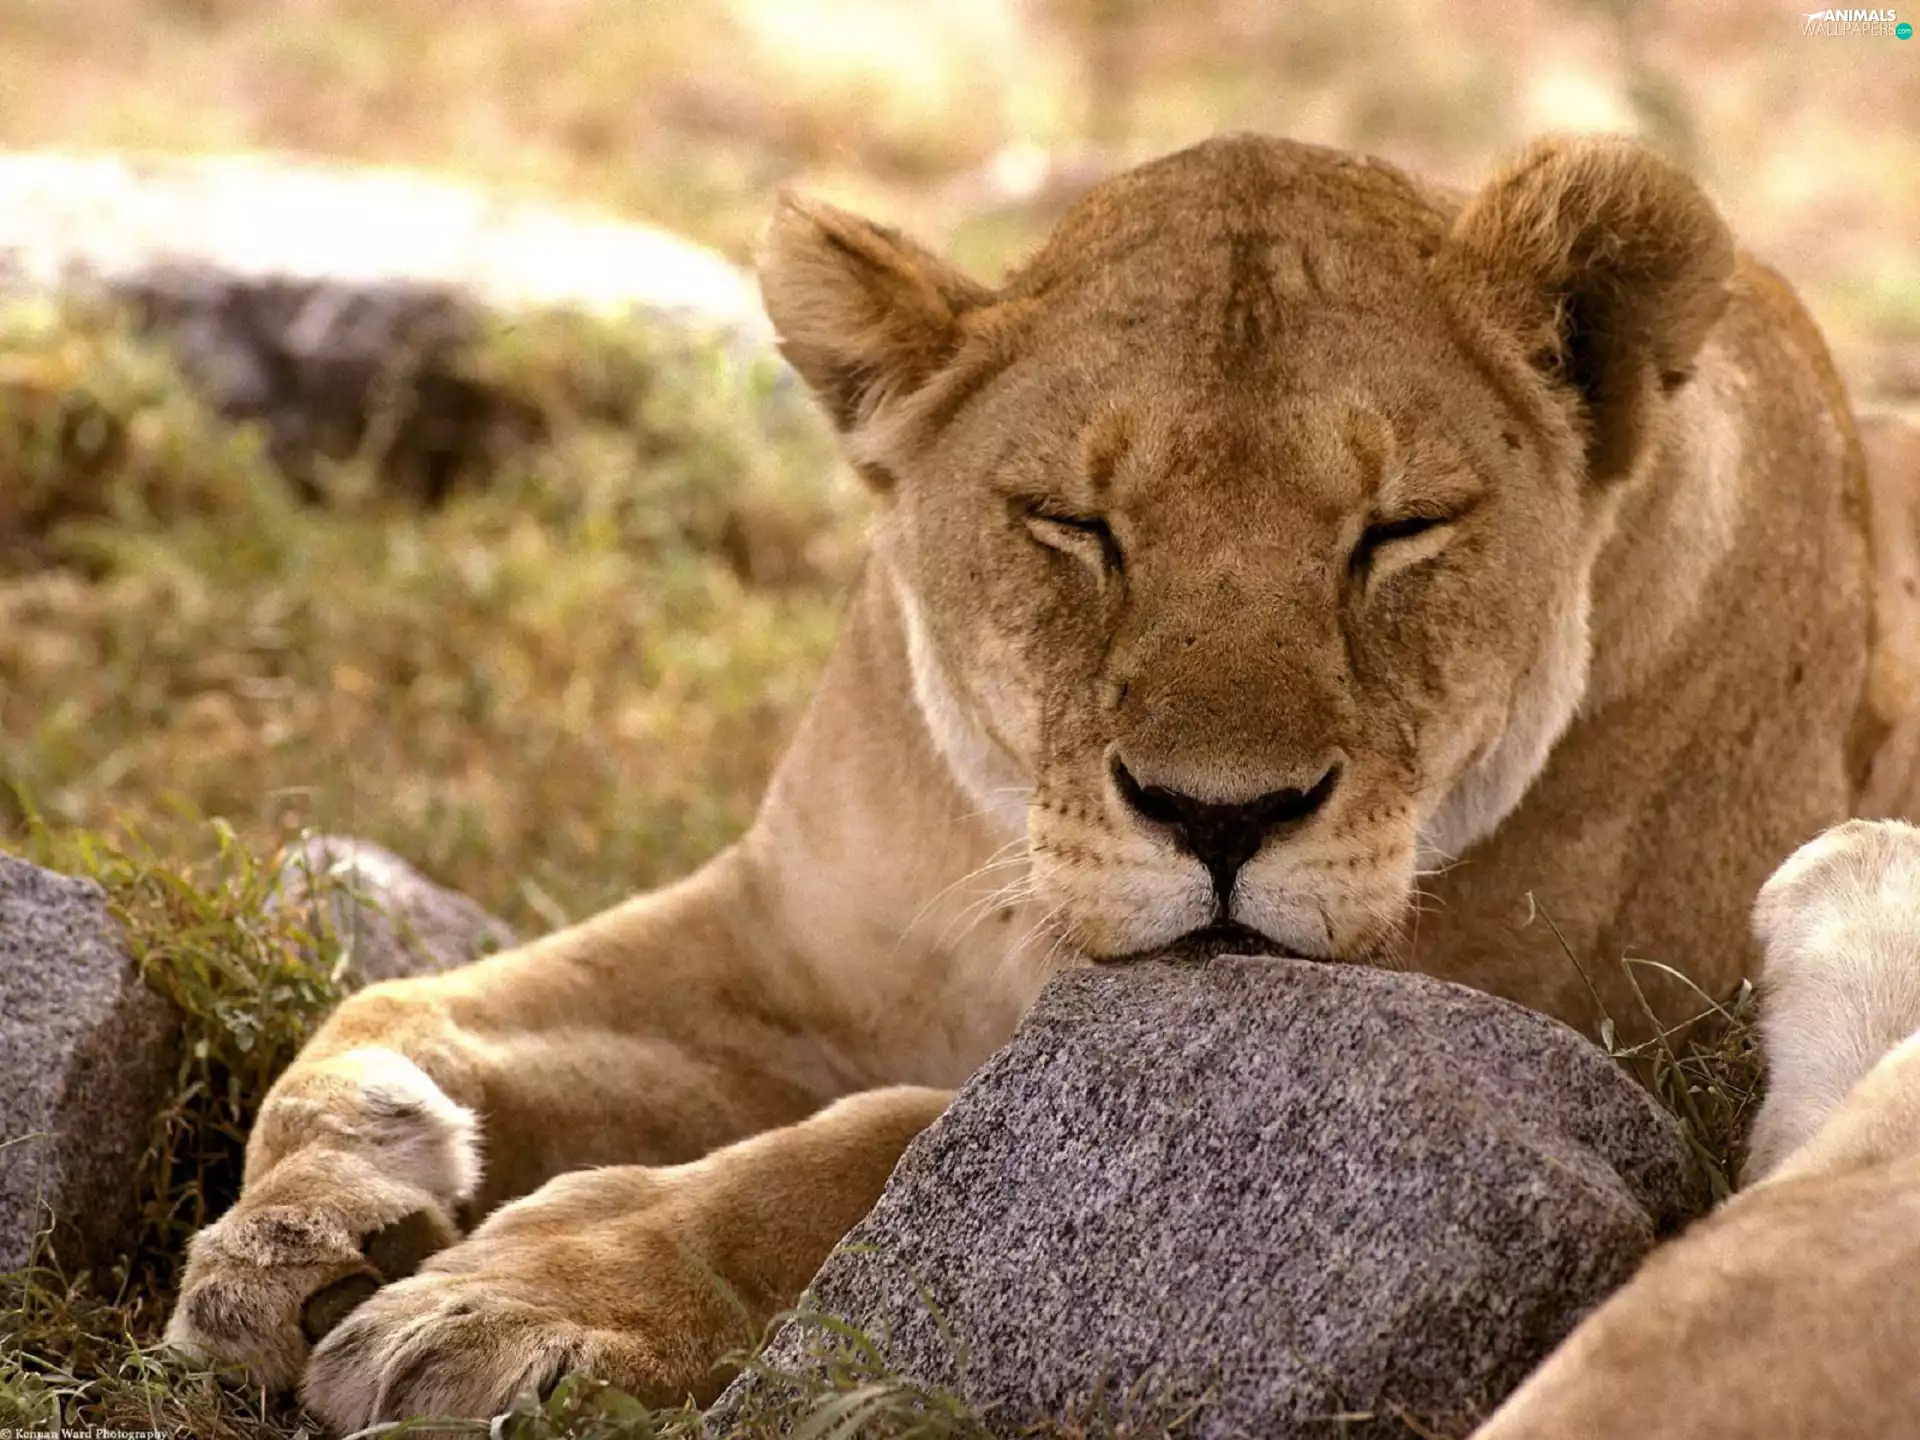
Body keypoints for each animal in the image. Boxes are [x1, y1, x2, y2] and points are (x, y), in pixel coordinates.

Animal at [162, 132, 1886, 1430]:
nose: (1218, 817)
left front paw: (515, 1297)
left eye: (1399, 531)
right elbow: (392, 1010)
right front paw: (310, 1219)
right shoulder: (787, 945)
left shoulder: (1572, 1061)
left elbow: (881, 1143)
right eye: (1073, 523)